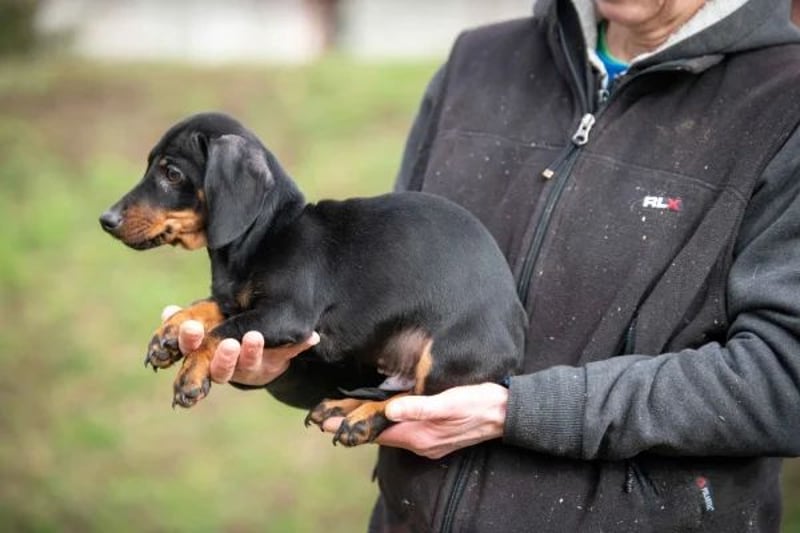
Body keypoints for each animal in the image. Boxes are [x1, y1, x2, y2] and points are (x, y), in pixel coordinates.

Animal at [99, 112, 526, 446]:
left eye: (172, 173)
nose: (106, 220)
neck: (268, 232)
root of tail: (516, 344)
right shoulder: (241, 301)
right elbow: (209, 308)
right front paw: (169, 334)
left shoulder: (286, 314)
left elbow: (219, 332)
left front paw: (190, 373)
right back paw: (342, 405)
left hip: (442, 356)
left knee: (411, 403)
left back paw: (362, 418)